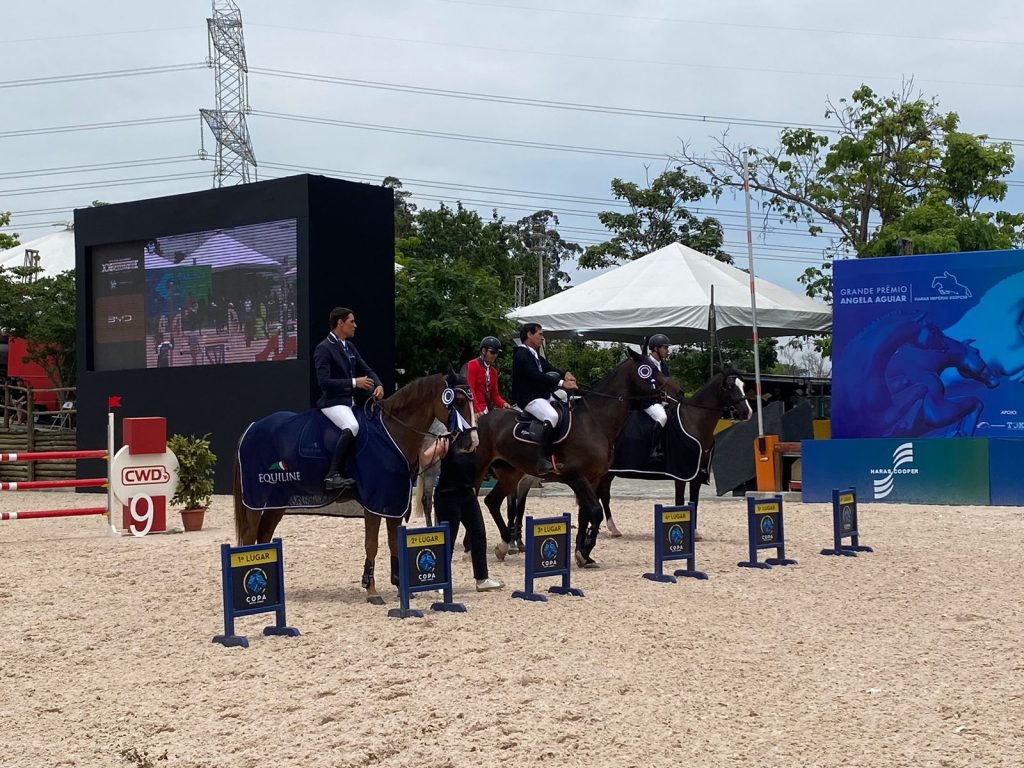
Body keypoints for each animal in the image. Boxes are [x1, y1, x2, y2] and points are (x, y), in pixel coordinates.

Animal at [233, 369, 476, 605]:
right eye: (459, 401)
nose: (471, 442)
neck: (392, 432)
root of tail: (251, 428)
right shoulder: (375, 501)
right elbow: (372, 544)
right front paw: (371, 590)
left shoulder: (394, 500)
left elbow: (393, 542)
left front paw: (400, 587)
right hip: (256, 499)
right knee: (249, 536)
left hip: (277, 502)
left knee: (264, 535)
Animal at [474, 348, 667, 567]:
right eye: (648, 369)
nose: (675, 391)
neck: (595, 421)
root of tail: (482, 419)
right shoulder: (575, 476)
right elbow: (596, 511)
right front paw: (585, 550)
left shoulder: (592, 479)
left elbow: (586, 514)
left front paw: (584, 553)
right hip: (479, 469)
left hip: (510, 473)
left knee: (492, 501)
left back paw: (503, 545)